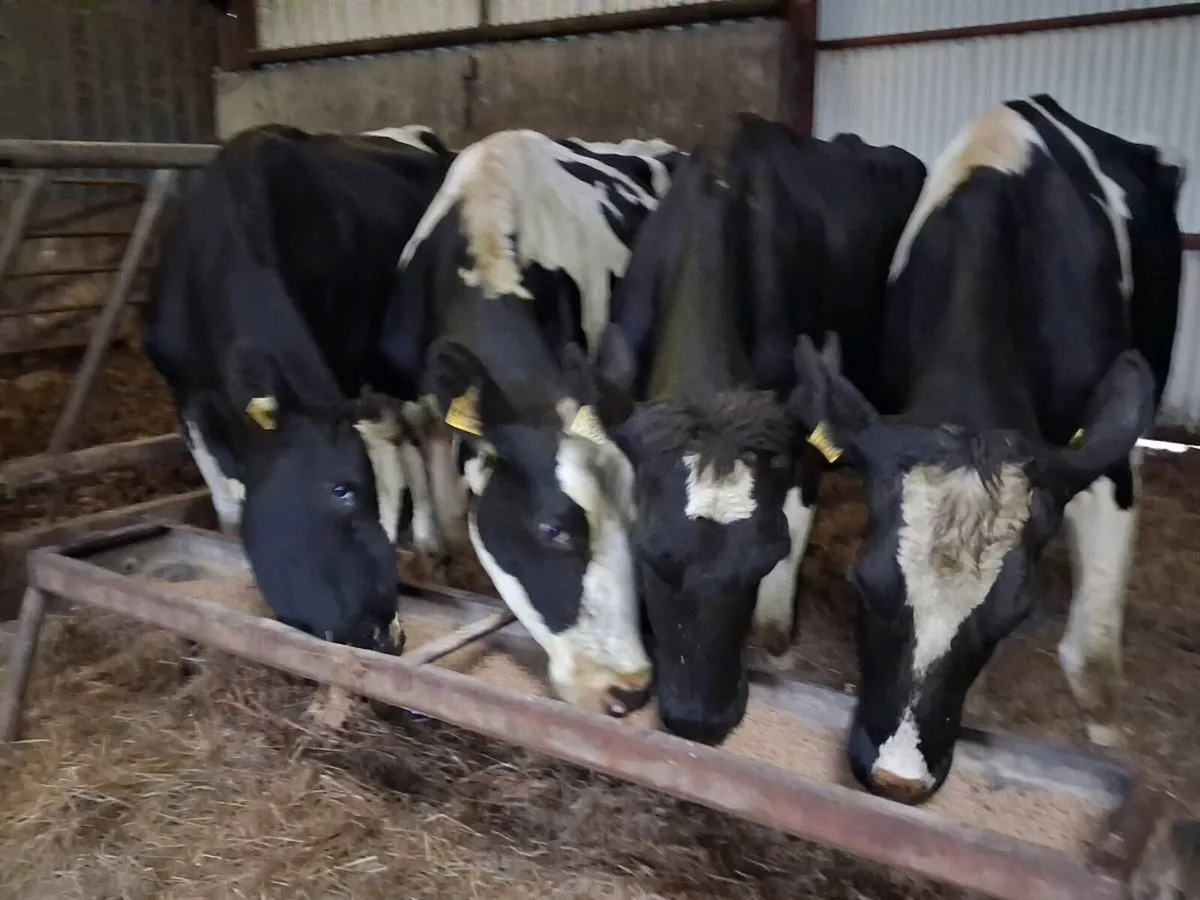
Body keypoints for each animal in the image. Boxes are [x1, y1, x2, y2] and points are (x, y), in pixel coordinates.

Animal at [142, 123, 455, 653]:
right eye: (341, 491)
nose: (387, 634)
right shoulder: (184, 394)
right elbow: (228, 511)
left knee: (424, 434)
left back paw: (434, 541)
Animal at [373, 128, 682, 714]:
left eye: (638, 523)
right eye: (552, 530)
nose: (628, 690)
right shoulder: (407, 399)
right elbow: (432, 488)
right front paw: (435, 555)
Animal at [787, 94, 1185, 803]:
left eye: (1012, 613)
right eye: (865, 581)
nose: (898, 778)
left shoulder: (1105, 457)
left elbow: (1092, 659)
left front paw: (1105, 737)